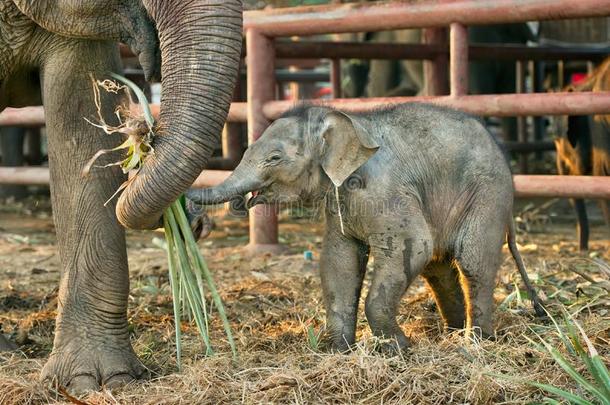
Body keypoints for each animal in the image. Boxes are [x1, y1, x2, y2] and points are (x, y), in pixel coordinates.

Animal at [186, 104, 540, 350]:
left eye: (274, 157)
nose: (195, 215)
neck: (345, 121)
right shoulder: (340, 202)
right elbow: (339, 261)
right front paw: (339, 350)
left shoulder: (386, 193)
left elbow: (414, 244)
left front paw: (398, 348)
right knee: (438, 267)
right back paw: (451, 334)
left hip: (487, 196)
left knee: (472, 261)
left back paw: (475, 342)